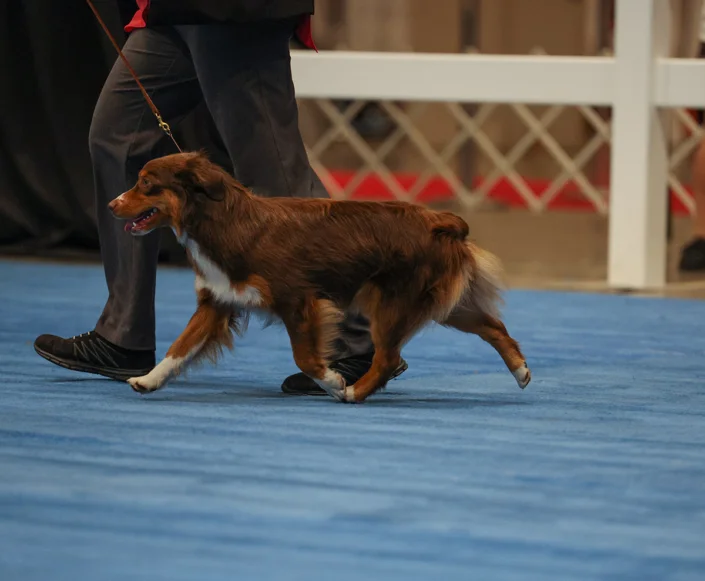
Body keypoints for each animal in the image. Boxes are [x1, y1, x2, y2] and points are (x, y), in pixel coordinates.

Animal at [107, 152, 532, 402]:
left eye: (146, 183)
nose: (111, 204)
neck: (226, 222)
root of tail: (440, 220)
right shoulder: (218, 301)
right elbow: (179, 347)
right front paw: (149, 379)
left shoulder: (298, 300)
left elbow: (306, 357)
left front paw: (332, 380)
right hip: (441, 302)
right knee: (493, 327)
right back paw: (521, 370)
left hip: (393, 303)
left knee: (388, 358)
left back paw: (354, 393)